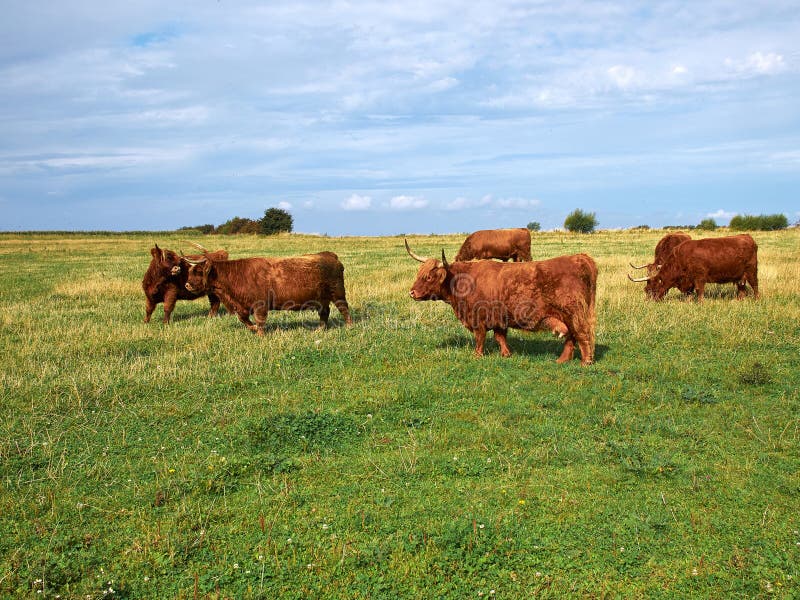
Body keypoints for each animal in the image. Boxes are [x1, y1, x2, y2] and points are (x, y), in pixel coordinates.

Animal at [187, 248, 354, 332]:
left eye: (199, 271)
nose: (187, 285)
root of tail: (329, 255)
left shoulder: (260, 305)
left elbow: (259, 321)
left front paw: (260, 334)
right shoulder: (242, 307)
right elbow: (245, 320)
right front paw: (253, 328)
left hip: (338, 293)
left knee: (344, 309)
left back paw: (349, 326)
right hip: (322, 299)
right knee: (324, 312)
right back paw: (320, 329)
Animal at [406, 240, 592, 366]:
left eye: (428, 277)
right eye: (419, 274)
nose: (412, 292)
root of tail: (580, 258)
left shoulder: (478, 318)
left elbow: (480, 337)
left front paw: (477, 355)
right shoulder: (498, 318)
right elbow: (500, 337)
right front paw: (506, 354)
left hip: (575, 316)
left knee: (582, 336)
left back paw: (586, 362)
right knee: (570, 338)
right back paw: (562, 360)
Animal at [628, 233, 760, 302]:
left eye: (653, 289)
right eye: (646, 290)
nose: (648, 302)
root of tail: (746, 236)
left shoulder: (699, 278)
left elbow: (699, 291)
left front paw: (700, 303)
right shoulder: (689, 281)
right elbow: (689, 293)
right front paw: (689, 302)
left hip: (752, 271)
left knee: (755, 285)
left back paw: (756, 300)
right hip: (740, 275)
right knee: (741, 288)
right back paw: (738, 301)